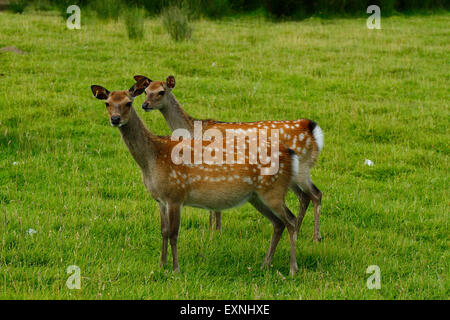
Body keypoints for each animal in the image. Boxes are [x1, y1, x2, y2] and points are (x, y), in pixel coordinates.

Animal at [90, 79, 304, 276]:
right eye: (107, 103)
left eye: (128, 102)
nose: (115, 119)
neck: (151, 160)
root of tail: (290, 154)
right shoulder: (160, 199)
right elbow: (163, 231)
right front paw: (161, 265)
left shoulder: (175, 194)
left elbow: (173, 233)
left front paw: (175, 269)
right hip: (256, 196)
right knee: (278, 223)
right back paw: (265, 264)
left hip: (274, 190)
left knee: (291, 220)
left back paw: (293, 269)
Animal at [133, 74, 324, 240]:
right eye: (146, 90)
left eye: (161, 91)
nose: (144, 105)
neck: (193, 129)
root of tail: (310, 129)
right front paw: (214, 230)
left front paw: (214, 232)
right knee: (304, 196)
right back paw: (298, 230)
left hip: (302, 169)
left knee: (315, 194)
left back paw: (316, 237)